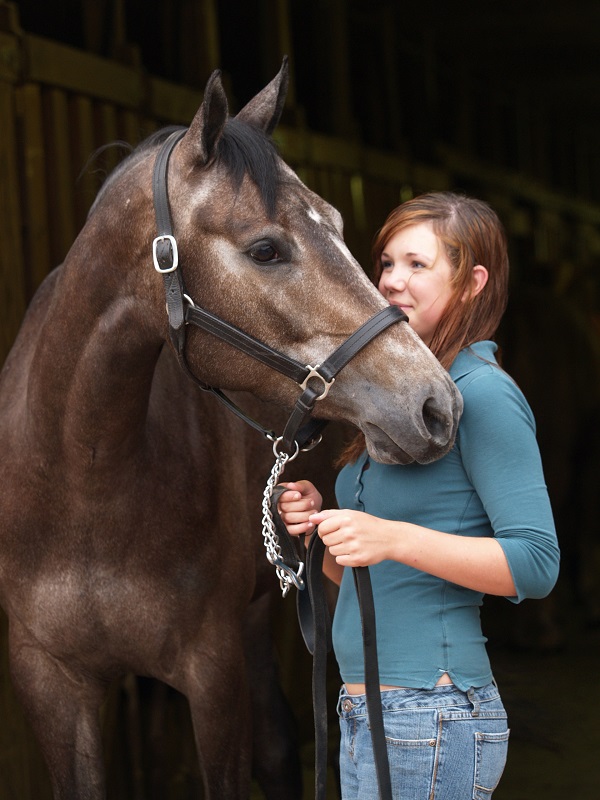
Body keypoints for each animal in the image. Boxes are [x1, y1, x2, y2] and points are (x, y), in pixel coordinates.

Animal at [0, 60, 462, 799]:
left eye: (337, 223)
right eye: (265, 249)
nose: (435, 405)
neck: (85, 481)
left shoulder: (213, 673)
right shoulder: (49, 680)